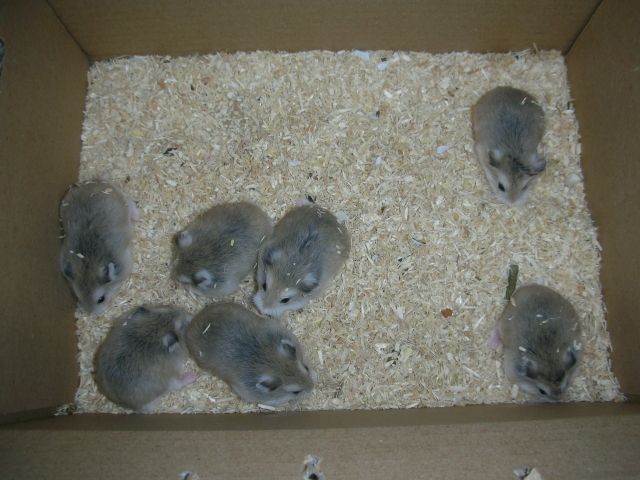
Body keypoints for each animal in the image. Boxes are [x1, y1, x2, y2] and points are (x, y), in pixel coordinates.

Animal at [59, 180, 138, 315]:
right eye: (78, 297)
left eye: (101, 299)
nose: (94, 314)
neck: (88, 266)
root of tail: (96, 182)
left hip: (120, 199)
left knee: (127, 200)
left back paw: (137, 214)